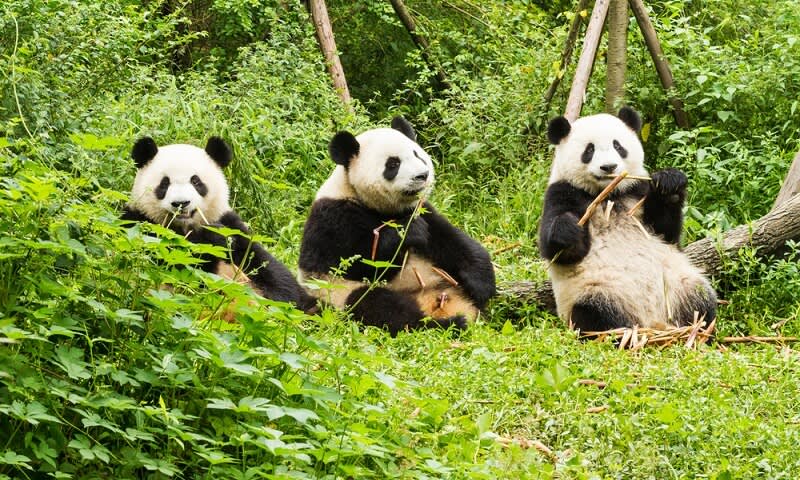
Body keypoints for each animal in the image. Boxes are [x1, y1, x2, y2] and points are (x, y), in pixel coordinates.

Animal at [120, 135, 314, 312]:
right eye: (164, 183)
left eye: (196, 181)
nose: (181, 203)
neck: (186, 227)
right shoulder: (139, 223)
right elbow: (172, 262)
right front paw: (210, 240)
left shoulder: (231, 224)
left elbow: (266, 266)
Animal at [298, 116, 494, 336]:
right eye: (393, 164)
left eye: (417, 154)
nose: (422, 175)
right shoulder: (332, 217)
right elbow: (352, 262)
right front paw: (408, 232)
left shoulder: (421, 209)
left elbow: (452, 240)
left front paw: (481, 285)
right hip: (340, 294)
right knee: (380, 307)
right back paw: (445, 324)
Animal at [536, 108, 720, 334]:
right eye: (589, 150)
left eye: (618, 145)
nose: (608, 167)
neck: (608, 194)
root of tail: (652, 323)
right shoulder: (562, 192)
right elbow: (559, 251)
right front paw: (568, 230)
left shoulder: (636, 191)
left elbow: (666, 232)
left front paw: (669, 183)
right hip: (597, 291)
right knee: (595, 315)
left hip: (679, 286)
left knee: (701, 301)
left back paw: (698, 329)